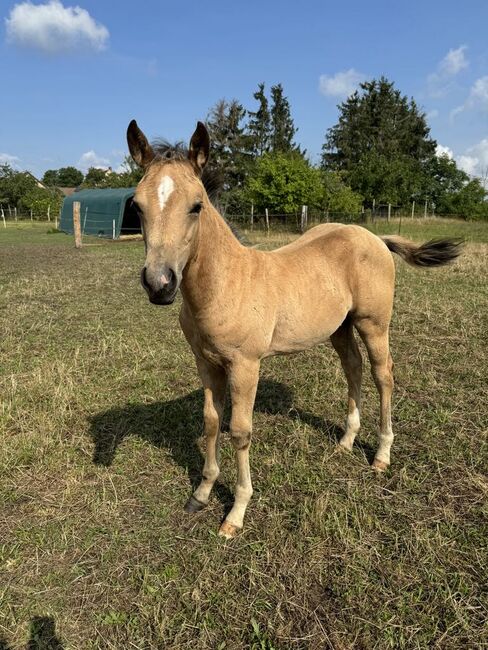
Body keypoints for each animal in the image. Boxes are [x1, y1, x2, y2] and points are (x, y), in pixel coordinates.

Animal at [126, 120, 462, 536]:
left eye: (196, 206)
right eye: (137, 206)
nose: (159, 284)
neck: (226, 283)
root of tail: (374, 238)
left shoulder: (245, 365)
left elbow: (239, 430)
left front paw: (236, 513)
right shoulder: (206, 362)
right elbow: (211, 422)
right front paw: (201, 494)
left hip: (374, 324)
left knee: (383, 374)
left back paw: (382, 455)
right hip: (340, 327)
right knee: (353, 368)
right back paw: (345, 441)